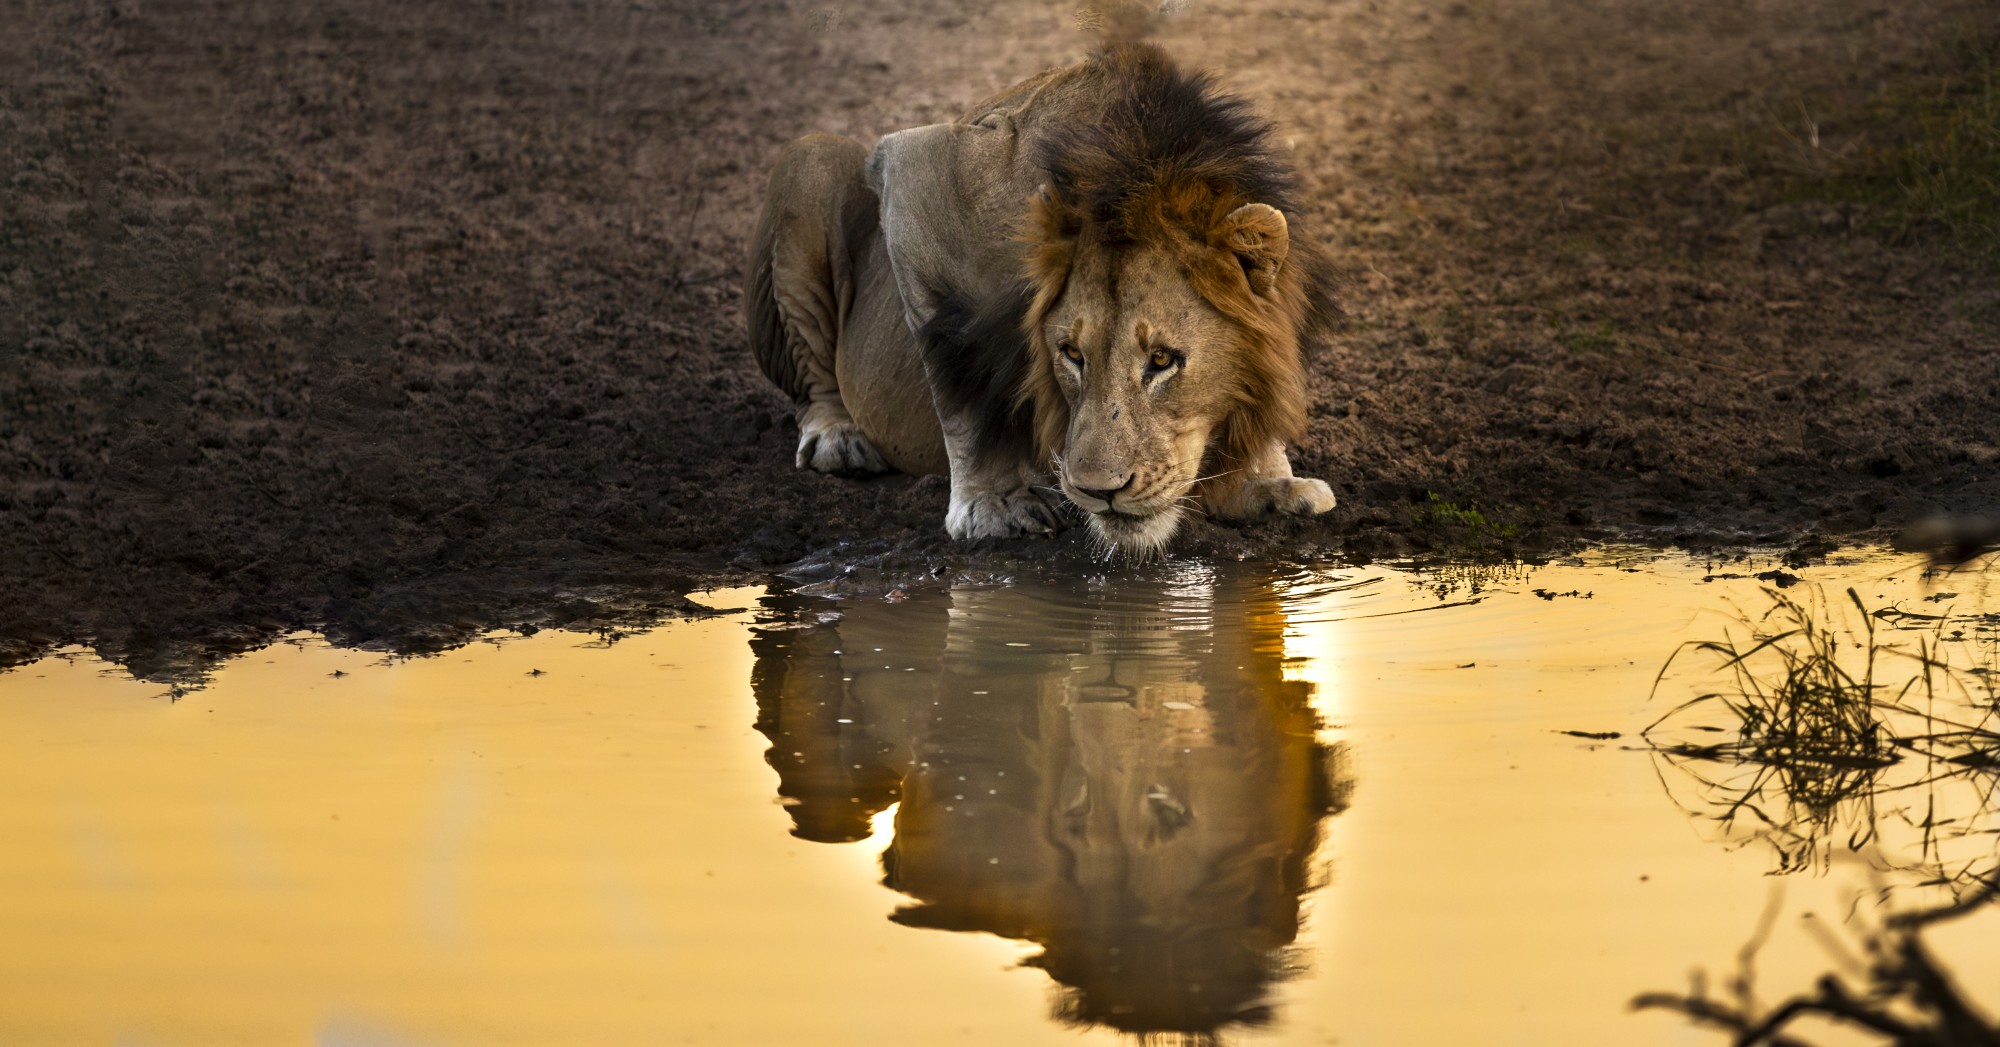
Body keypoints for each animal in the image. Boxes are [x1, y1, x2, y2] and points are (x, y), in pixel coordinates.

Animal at [745, 41, 1338, 558]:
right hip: (812, 160)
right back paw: (837, 438)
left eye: (1162, 360)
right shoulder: (920, 169)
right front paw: (992, 505)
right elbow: (957, 383)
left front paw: (1266, 485)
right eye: (1071, 355)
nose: (1100, 491)